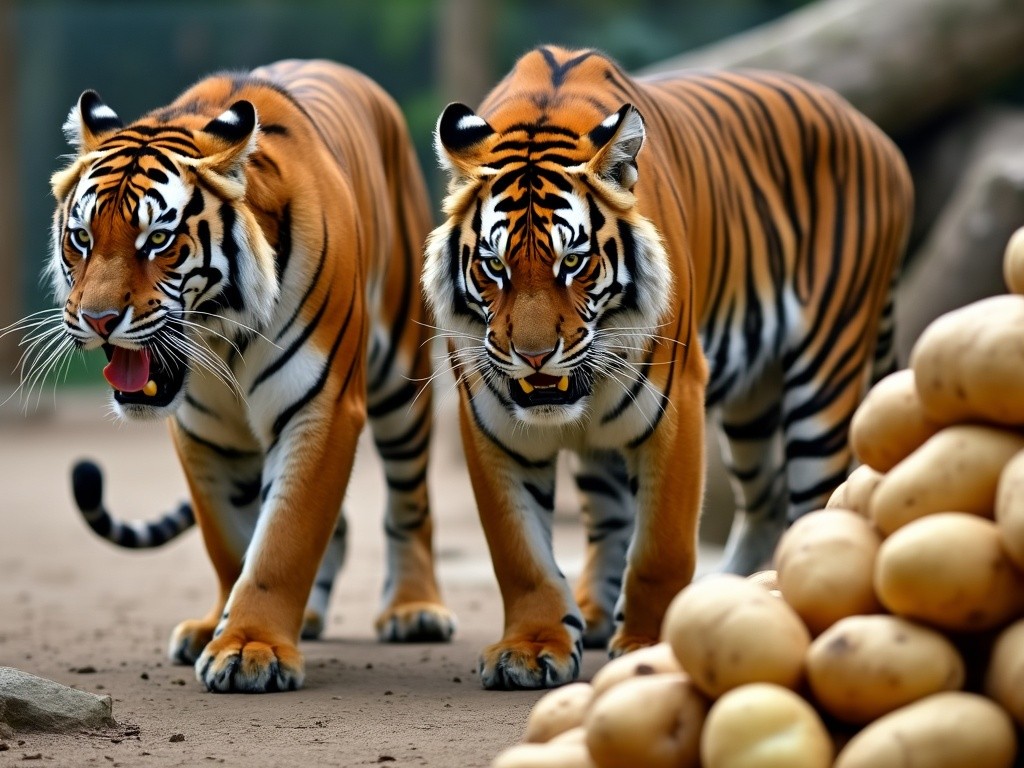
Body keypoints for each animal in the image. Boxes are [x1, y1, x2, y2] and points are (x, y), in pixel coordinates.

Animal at [44, 60, 452, 696]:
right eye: (81, 238)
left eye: (157, 240)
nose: (98, 320)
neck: (220, 333)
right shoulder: (203, 431)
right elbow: (229, 540)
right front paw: (220, 629)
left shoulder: (322, 407)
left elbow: (283, 537)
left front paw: (250, 648)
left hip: (403, 383)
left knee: (410, 503)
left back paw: (414, 611)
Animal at [421, 46, 913, 692]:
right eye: (494, 266)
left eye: (573, 262)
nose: (533, 355)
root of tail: (877, 136)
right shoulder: (491, 421)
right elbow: (519, 552)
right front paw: (530, 648)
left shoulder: (674, 402)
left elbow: (661, 545)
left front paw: (652, 644)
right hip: (751, 408)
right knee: (758, 499)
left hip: (826, 371)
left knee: (813, 503)